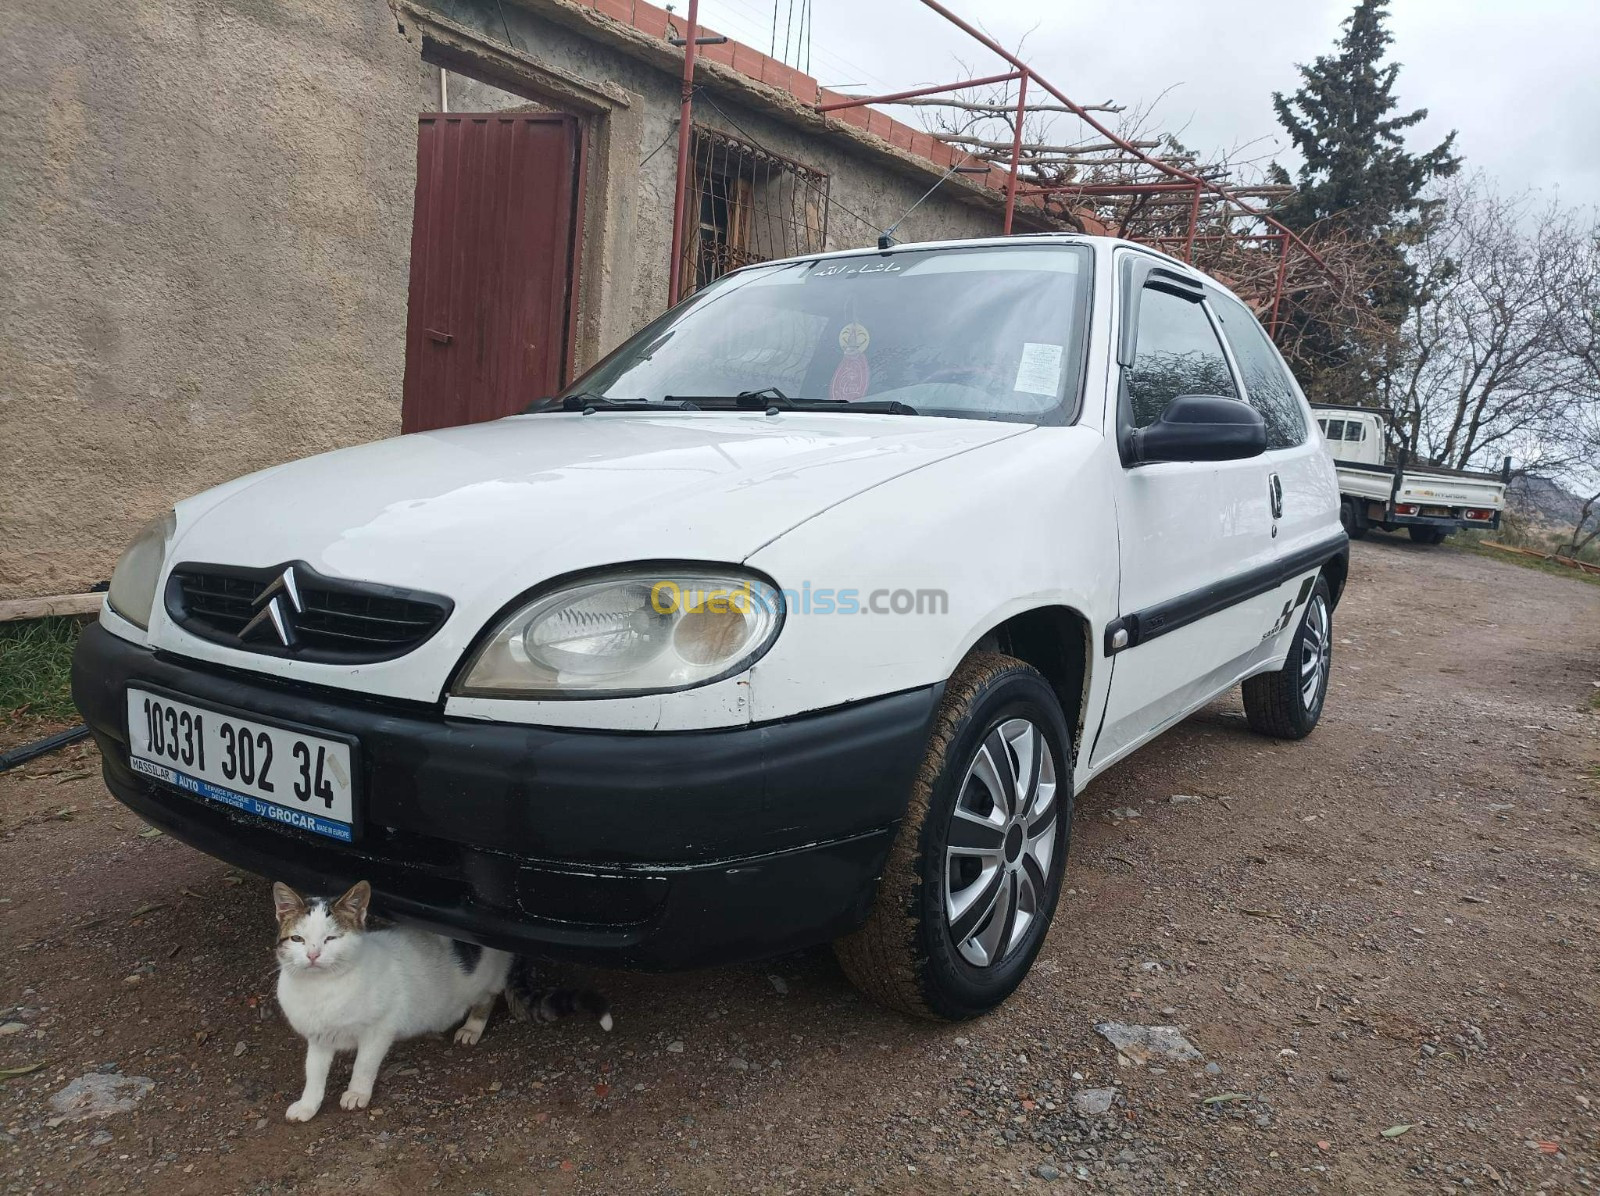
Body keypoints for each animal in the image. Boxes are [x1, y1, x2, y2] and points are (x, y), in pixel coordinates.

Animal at [267, 876, 505, 1119]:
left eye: (331, 938)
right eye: (297, 939)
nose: (312, 955)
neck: (320, 988)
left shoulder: (378, 1031)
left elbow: (363, 1065)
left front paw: (357, 1093)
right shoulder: (318, 1038)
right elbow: (313, 1072)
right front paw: (308, 1105)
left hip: (485, 981)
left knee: (488, 997)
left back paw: (471, 1028)